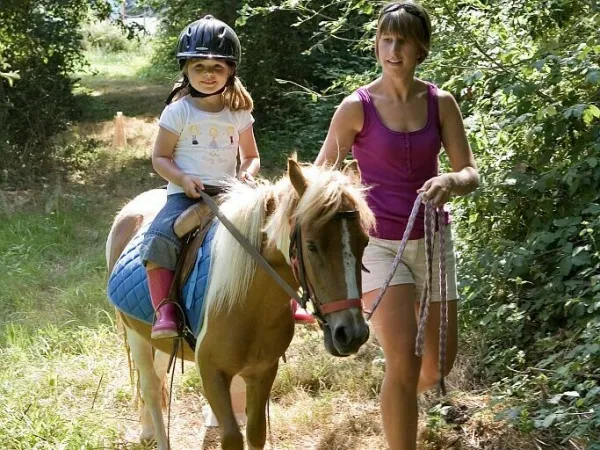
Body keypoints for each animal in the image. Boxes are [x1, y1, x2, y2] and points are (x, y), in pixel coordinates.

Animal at [104, 159, 376, 450]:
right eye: (312, 246)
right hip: (136, 336)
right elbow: (232, 437)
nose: (351, 333)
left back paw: (147, 430)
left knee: (157, 379)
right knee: (151, 387)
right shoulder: (212, 373)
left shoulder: (263, 371)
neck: (250, 303)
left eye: (365, 242)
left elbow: (256, 433)